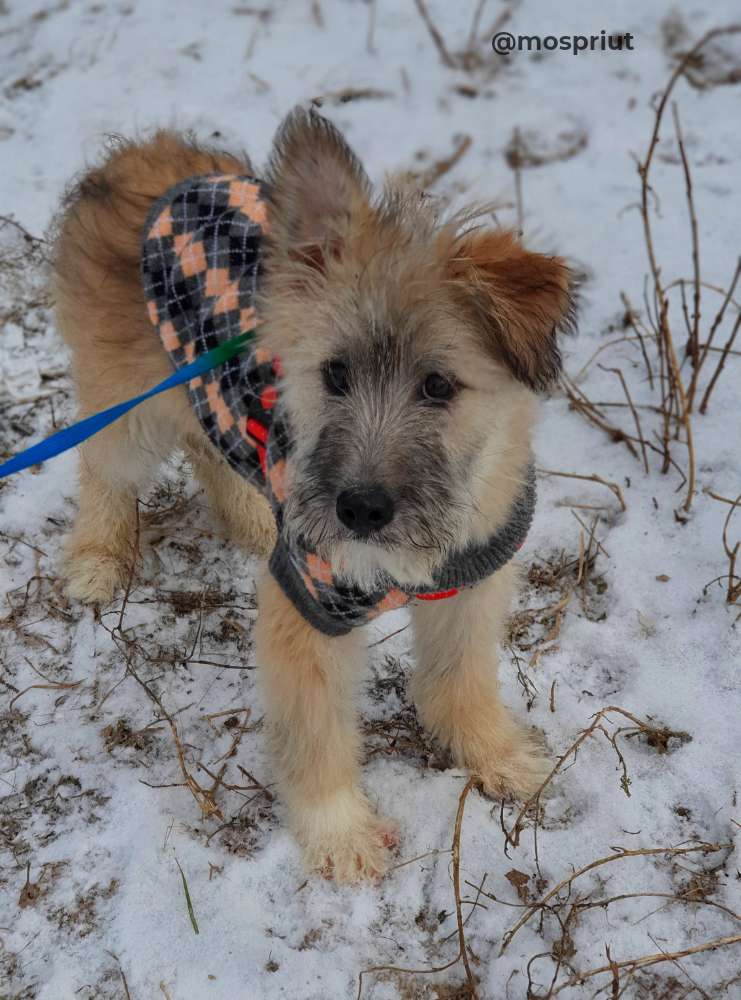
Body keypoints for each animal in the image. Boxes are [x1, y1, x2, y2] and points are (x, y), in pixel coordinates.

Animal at [55, 105, 576, 880]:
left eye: (438, 385)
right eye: (333, 374)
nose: (358, 510)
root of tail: (141, 156)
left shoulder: (469, 584)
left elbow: (461, 680)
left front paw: (495, 753)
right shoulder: (306, 610)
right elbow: (317, 733)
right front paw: (339, 834)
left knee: (209, 452)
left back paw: (250, 519)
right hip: (127, 405)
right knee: (102, 470)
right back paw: (98, 557)